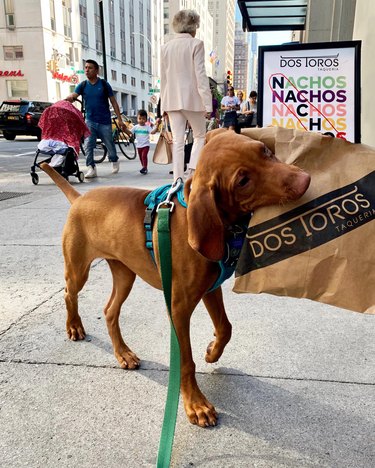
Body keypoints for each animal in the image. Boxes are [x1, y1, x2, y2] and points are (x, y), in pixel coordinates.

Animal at [41, 130, 312, 426]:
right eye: (243, 181)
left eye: (264, 150)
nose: (305, 180)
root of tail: (79, 198)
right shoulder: (178, 308)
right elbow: (185, 360)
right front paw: (196, 404)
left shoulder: (210, 289)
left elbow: (225, 327)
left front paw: (212, 351)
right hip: (79, 268)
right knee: (70, 293)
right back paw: (74, 327)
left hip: (125, 273)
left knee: (110, 310)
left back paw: (123, 353)